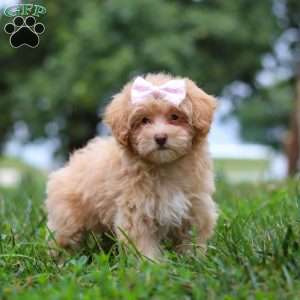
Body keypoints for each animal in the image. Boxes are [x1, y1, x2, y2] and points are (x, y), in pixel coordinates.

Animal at [45, 73, 218, 260]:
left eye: (175, 116)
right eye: (144, 120)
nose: (160, 138)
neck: (164, 165)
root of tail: (69, 164)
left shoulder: (195, 208)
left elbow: (192, 241)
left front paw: (195, 260)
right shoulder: (137, 212)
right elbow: (143, 245)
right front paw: (151, 265)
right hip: (68, 220)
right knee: (63, 241)